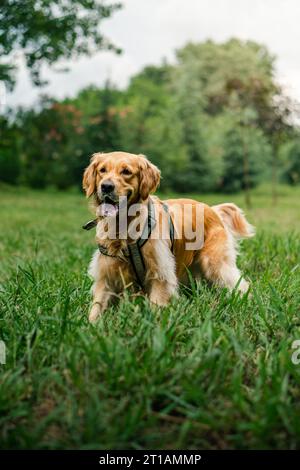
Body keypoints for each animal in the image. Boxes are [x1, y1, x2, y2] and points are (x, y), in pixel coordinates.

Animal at [83, 152, 254, 322]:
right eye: (102, 170)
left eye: (126, 171)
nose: (106, 186)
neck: (124, 227)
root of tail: (213, 210)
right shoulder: (106, 277)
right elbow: (96, 308)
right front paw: (90, 326)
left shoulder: (160, 274)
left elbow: (156, 307)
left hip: (215, 264)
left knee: (239, 284)